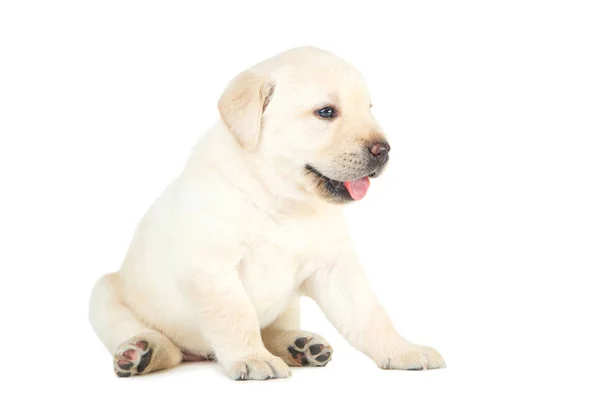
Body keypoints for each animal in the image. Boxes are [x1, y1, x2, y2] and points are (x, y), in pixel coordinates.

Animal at [89, 46, 446, 378]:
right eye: (326, 112)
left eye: (369, 108)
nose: (383, 150)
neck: (281, 201)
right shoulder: (212, 269)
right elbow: (236, 317)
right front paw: (251, 358)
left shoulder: (335, 269)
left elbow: (369, 314)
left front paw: (402, 350)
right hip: (105, 297)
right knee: (163, 346)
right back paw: (142, 352)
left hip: (288, 305)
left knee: (274, 328)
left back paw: (301, 346)